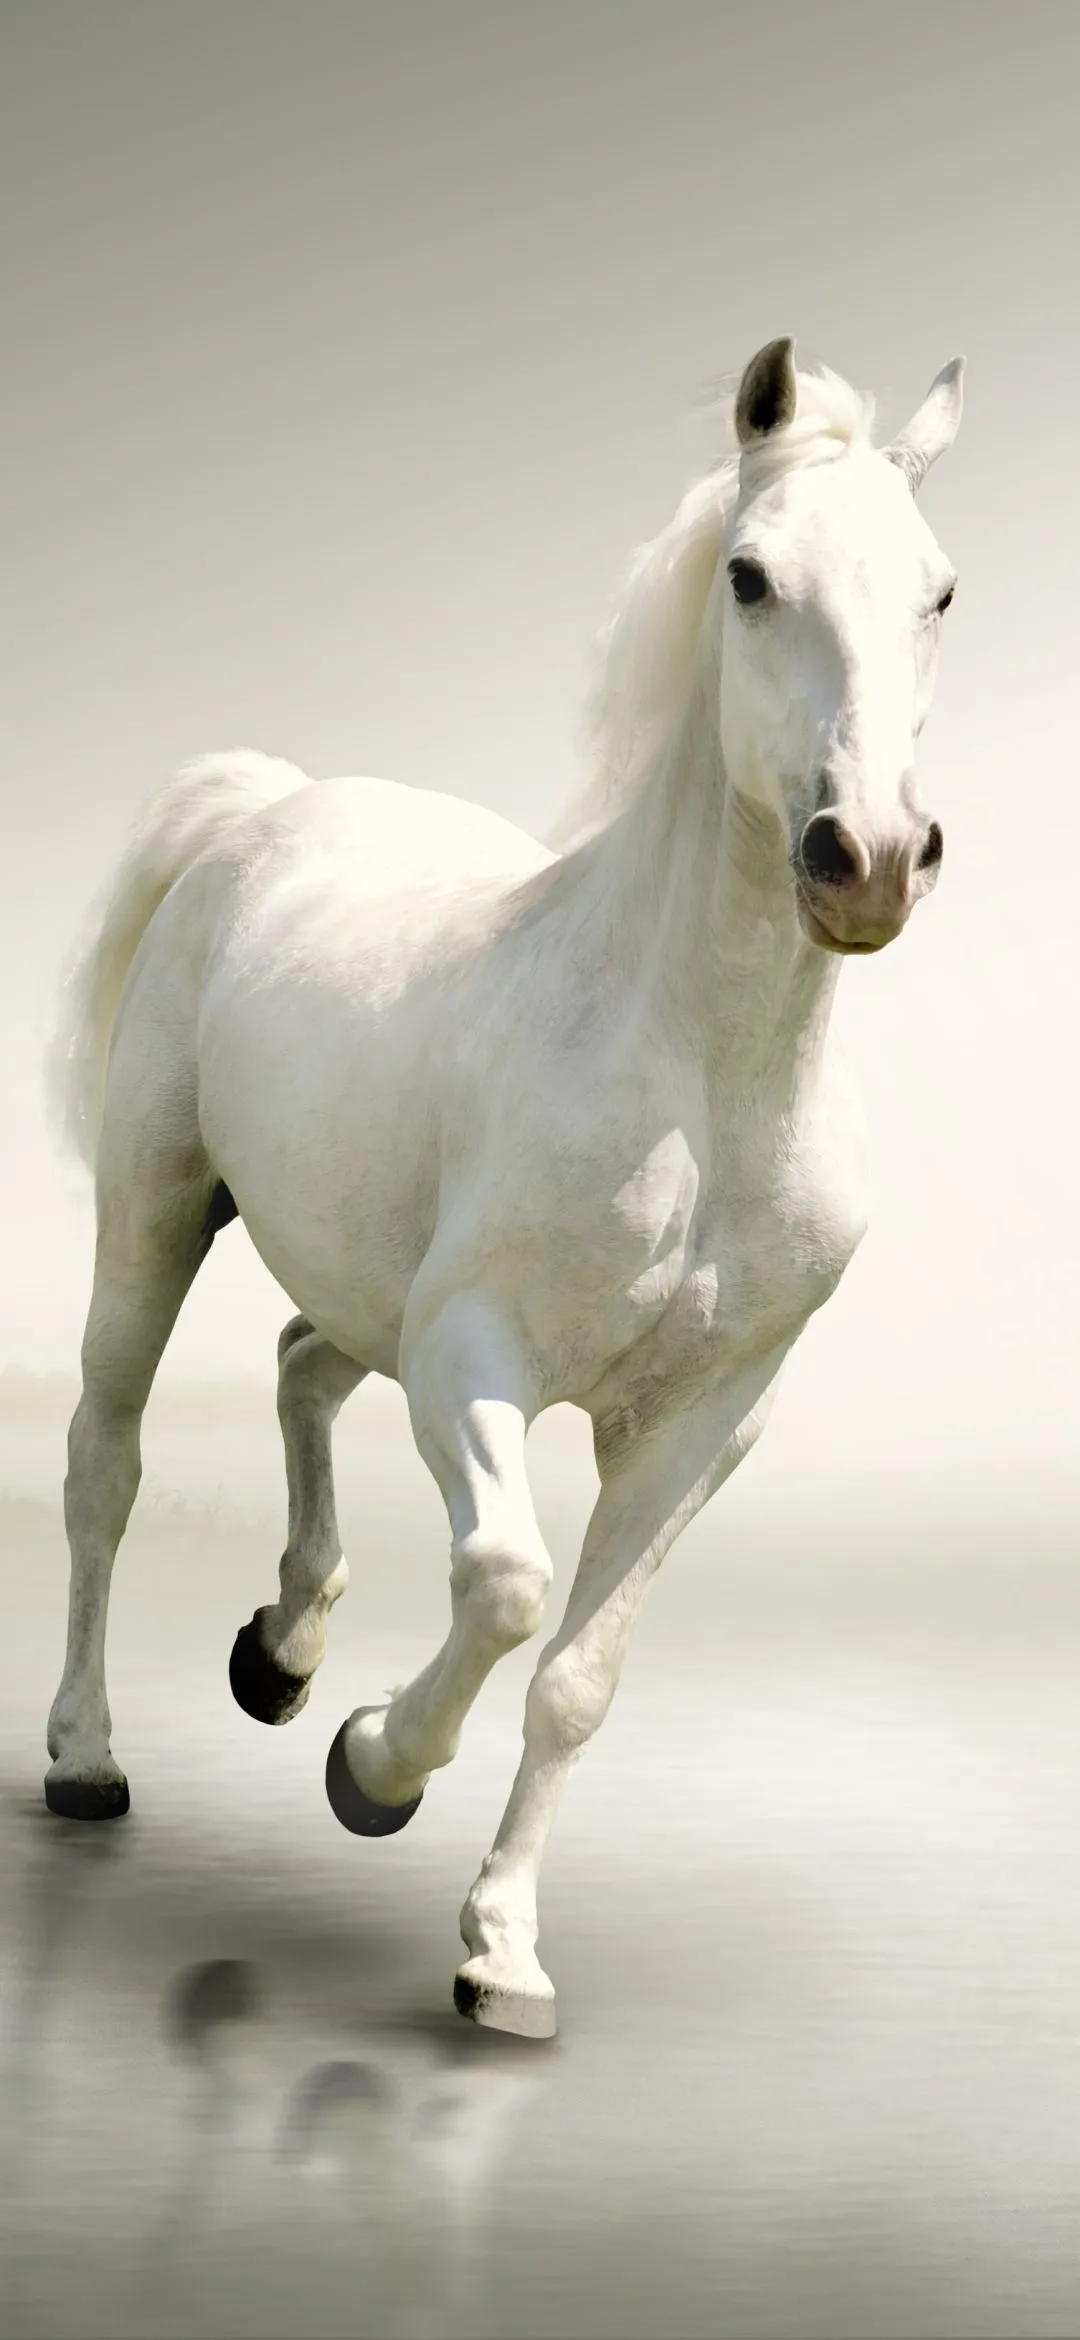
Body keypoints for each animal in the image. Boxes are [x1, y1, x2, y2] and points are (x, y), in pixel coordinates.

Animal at [42, 336, 964, 2040]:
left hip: (363, 1283)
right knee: (104, 1462)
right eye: (750, 575)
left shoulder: (702, 1424)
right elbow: (509, 1583)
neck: (702, 1083)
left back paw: (281, 1651)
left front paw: (503, 1957)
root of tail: (266, 807)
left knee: (299, 1362)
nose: (867, 857)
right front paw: (372, 1769)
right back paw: (88, 1756)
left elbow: (582, 1678)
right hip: (156, 1212)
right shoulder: (475, 1358)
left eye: (938, 588)